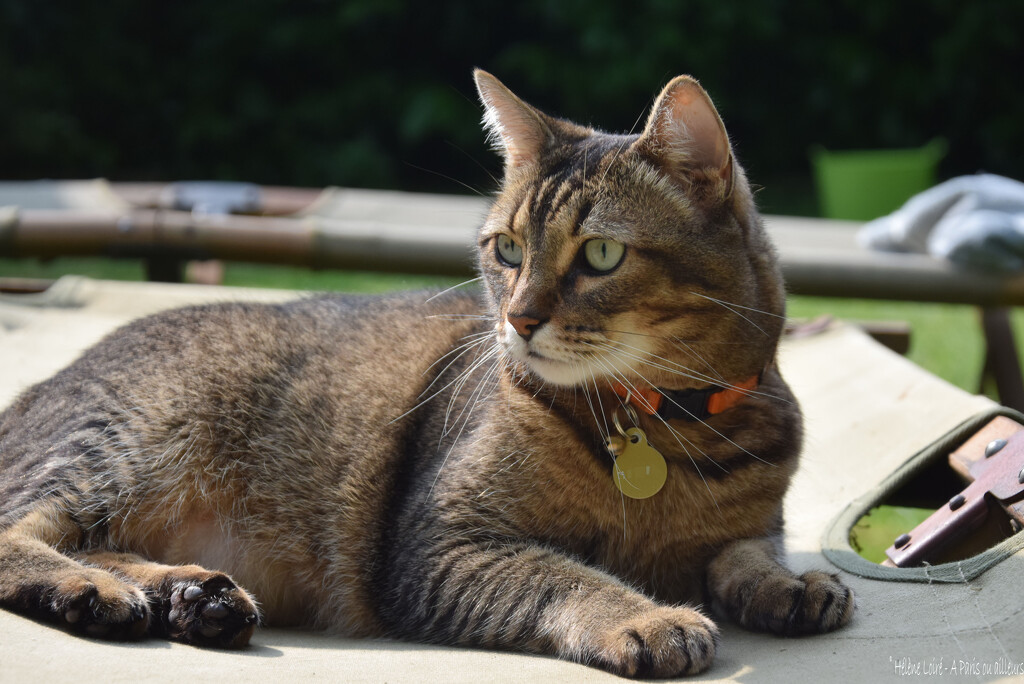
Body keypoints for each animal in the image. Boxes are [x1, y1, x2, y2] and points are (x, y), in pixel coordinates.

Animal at [0, 72, 851, 675]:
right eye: (507, 250)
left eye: (603, 254)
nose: (519, 320)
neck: (667, 427)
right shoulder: (438, 547)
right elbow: (565, 574)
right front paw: (647, 615)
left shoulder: (751, 526)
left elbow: (747, 553)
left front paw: (791, 585)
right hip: (125, 444)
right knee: (20, 531)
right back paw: (96, 593)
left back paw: (189, 594)